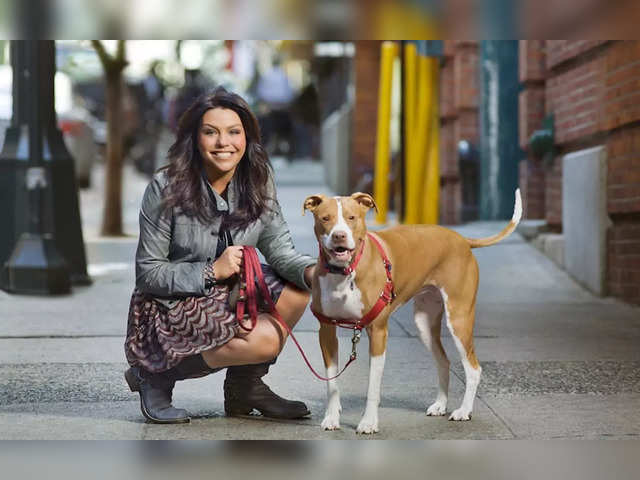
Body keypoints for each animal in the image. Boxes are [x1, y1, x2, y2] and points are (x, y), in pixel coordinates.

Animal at [304, 189, 520, 434]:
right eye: (325, 218)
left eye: (352, 218)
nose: (339, 236)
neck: (345, 272)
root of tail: (462, 240)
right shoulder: (327, 331)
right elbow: (331, 383)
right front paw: (331, 418)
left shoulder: (378, 332)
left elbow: (372, 388)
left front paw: (368, 422)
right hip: (424, 323)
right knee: (444, 361)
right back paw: (440, 405)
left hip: (459, 319)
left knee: (473, 368)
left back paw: (464, 411)